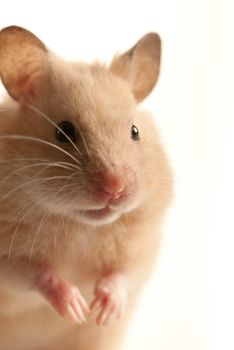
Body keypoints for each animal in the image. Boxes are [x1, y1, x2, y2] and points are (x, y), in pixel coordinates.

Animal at [0, 26, 172, 350]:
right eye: (64, 132)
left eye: (135, 131)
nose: (115, 188)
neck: (81, 225)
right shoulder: (7, 257)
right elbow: (35, 274)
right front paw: (77, 308)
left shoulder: (145, 248)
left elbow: (124, 274)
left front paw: (103, 310)